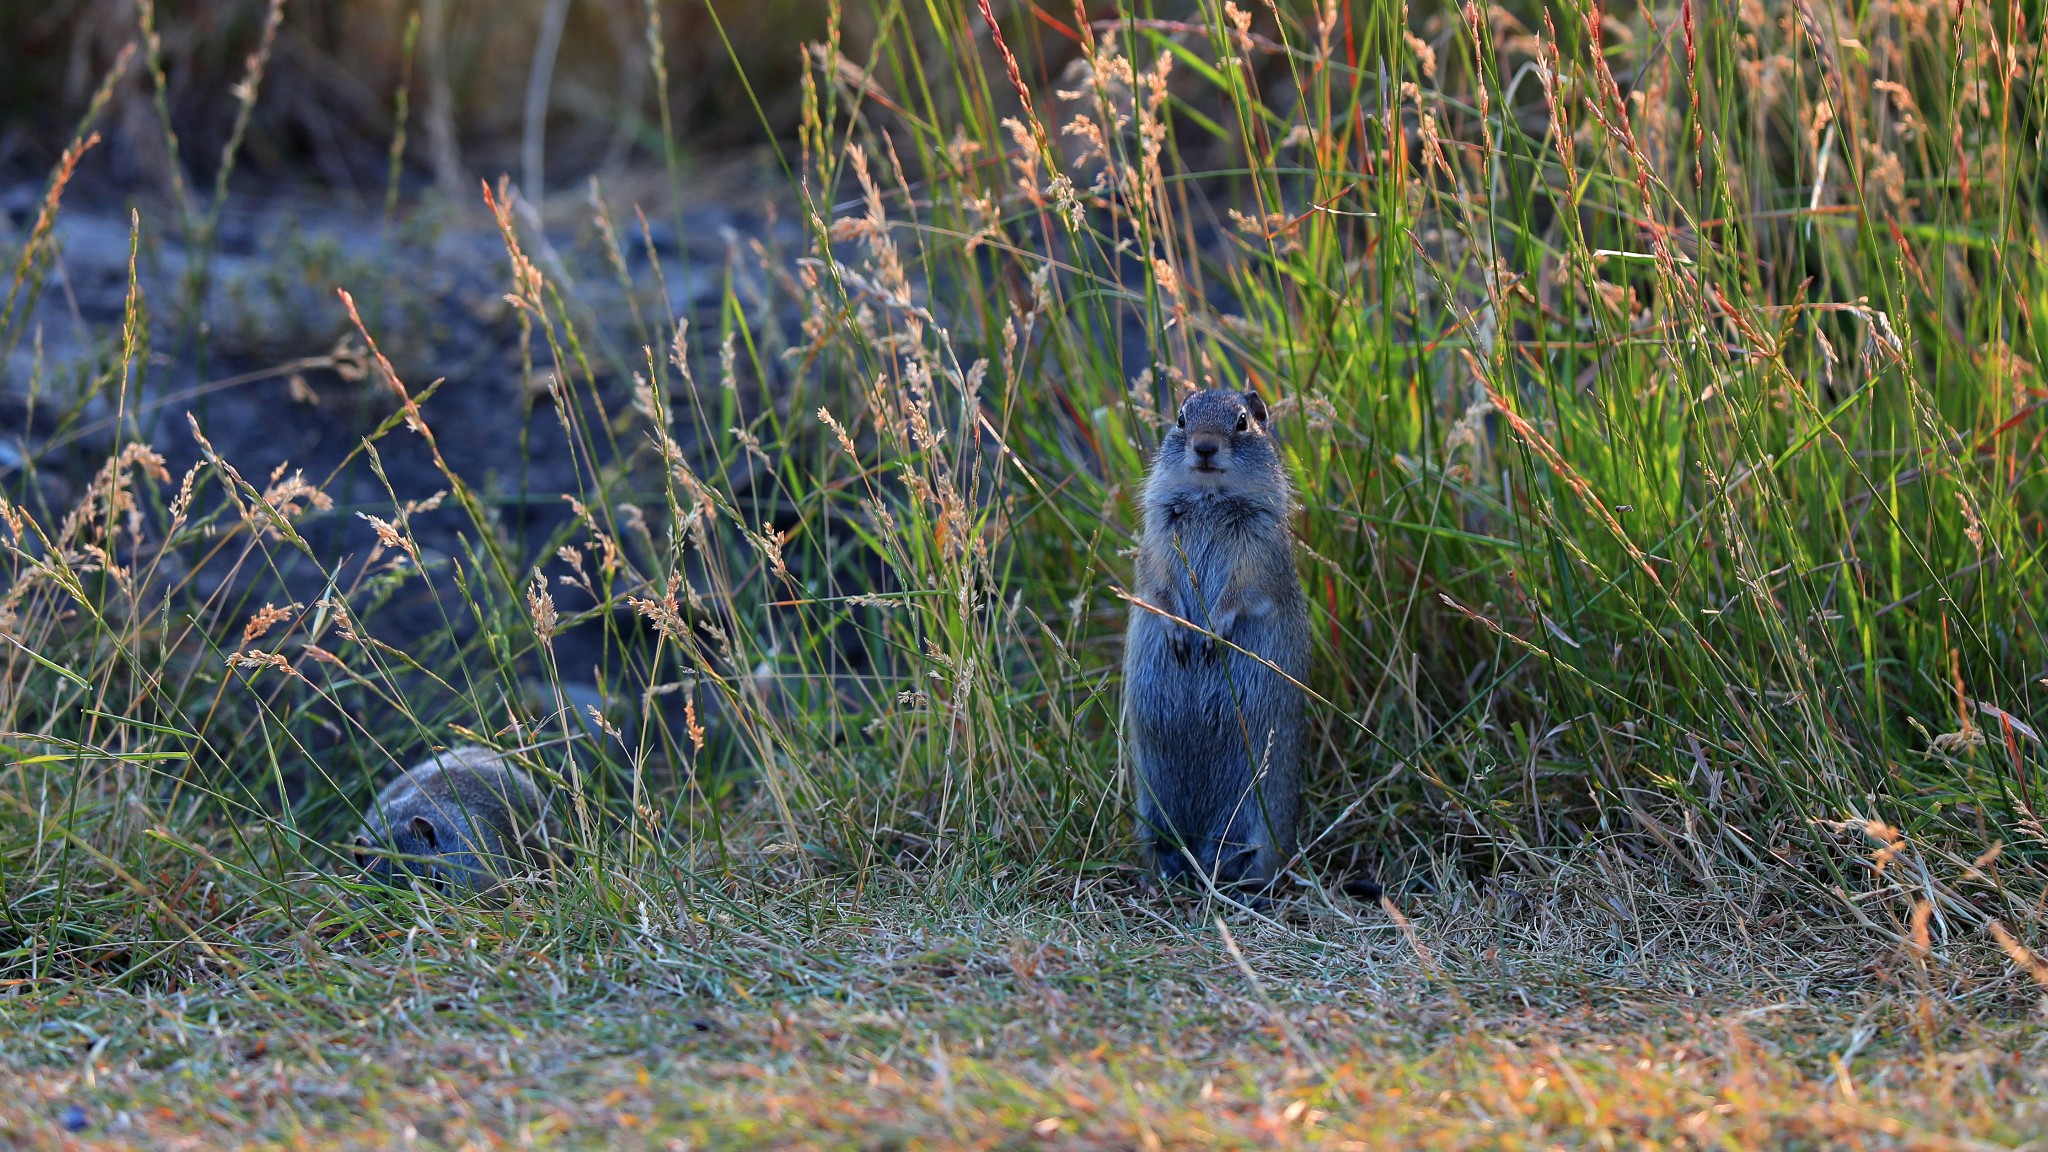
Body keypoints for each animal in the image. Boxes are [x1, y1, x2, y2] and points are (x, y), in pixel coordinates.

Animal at [1122, 385, 1310, 889]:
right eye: (1181, 419)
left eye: (1243, 421)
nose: (1204, 447)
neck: (1209, 497)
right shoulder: (1159, 538)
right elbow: (1161, 584)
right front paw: (1180, 633)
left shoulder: (1258, 546)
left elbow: (1240, 590)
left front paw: (1211, 635)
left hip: (1253, 817)